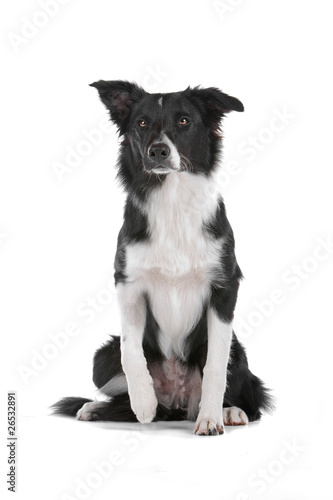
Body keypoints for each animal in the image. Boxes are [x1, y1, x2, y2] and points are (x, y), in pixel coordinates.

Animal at [53, 81, 272, 434]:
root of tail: (178, 403)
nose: (158, 151)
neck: (172, 201)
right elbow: (131, 352)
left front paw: (211, 418)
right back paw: (99, 407)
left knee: (250, 398)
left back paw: (230, 412)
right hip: (100, 357)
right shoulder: (127, 282)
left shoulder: (225, 286)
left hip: (239, 354)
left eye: (184, 121)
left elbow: (215, 363)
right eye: (142, 123)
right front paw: (143, 401)